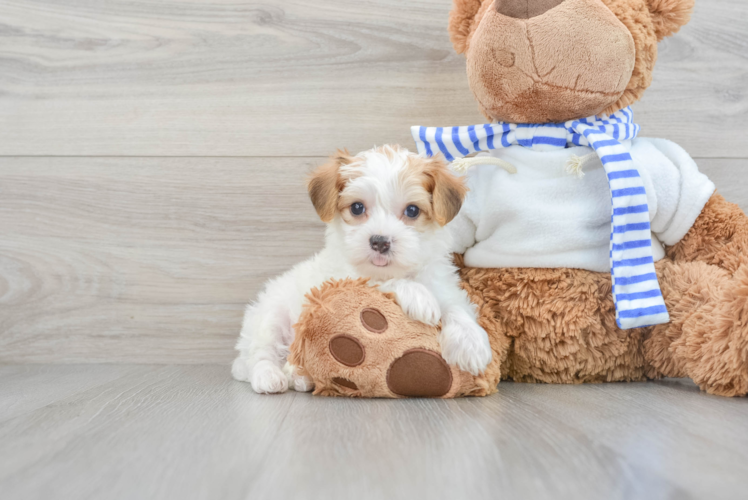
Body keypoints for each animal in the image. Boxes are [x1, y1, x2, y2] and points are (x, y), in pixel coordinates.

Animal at [231, 146, 494, 394]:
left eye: (412, 211)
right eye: (357, 208)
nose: (379, 241)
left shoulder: (442, 283)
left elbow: (456, 306)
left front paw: (472, 344)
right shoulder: (338, 280)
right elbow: (378, 281)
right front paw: (417, 296)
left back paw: (300, 377)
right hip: (270, 318)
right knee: (261, 354)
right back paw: (269, 377)